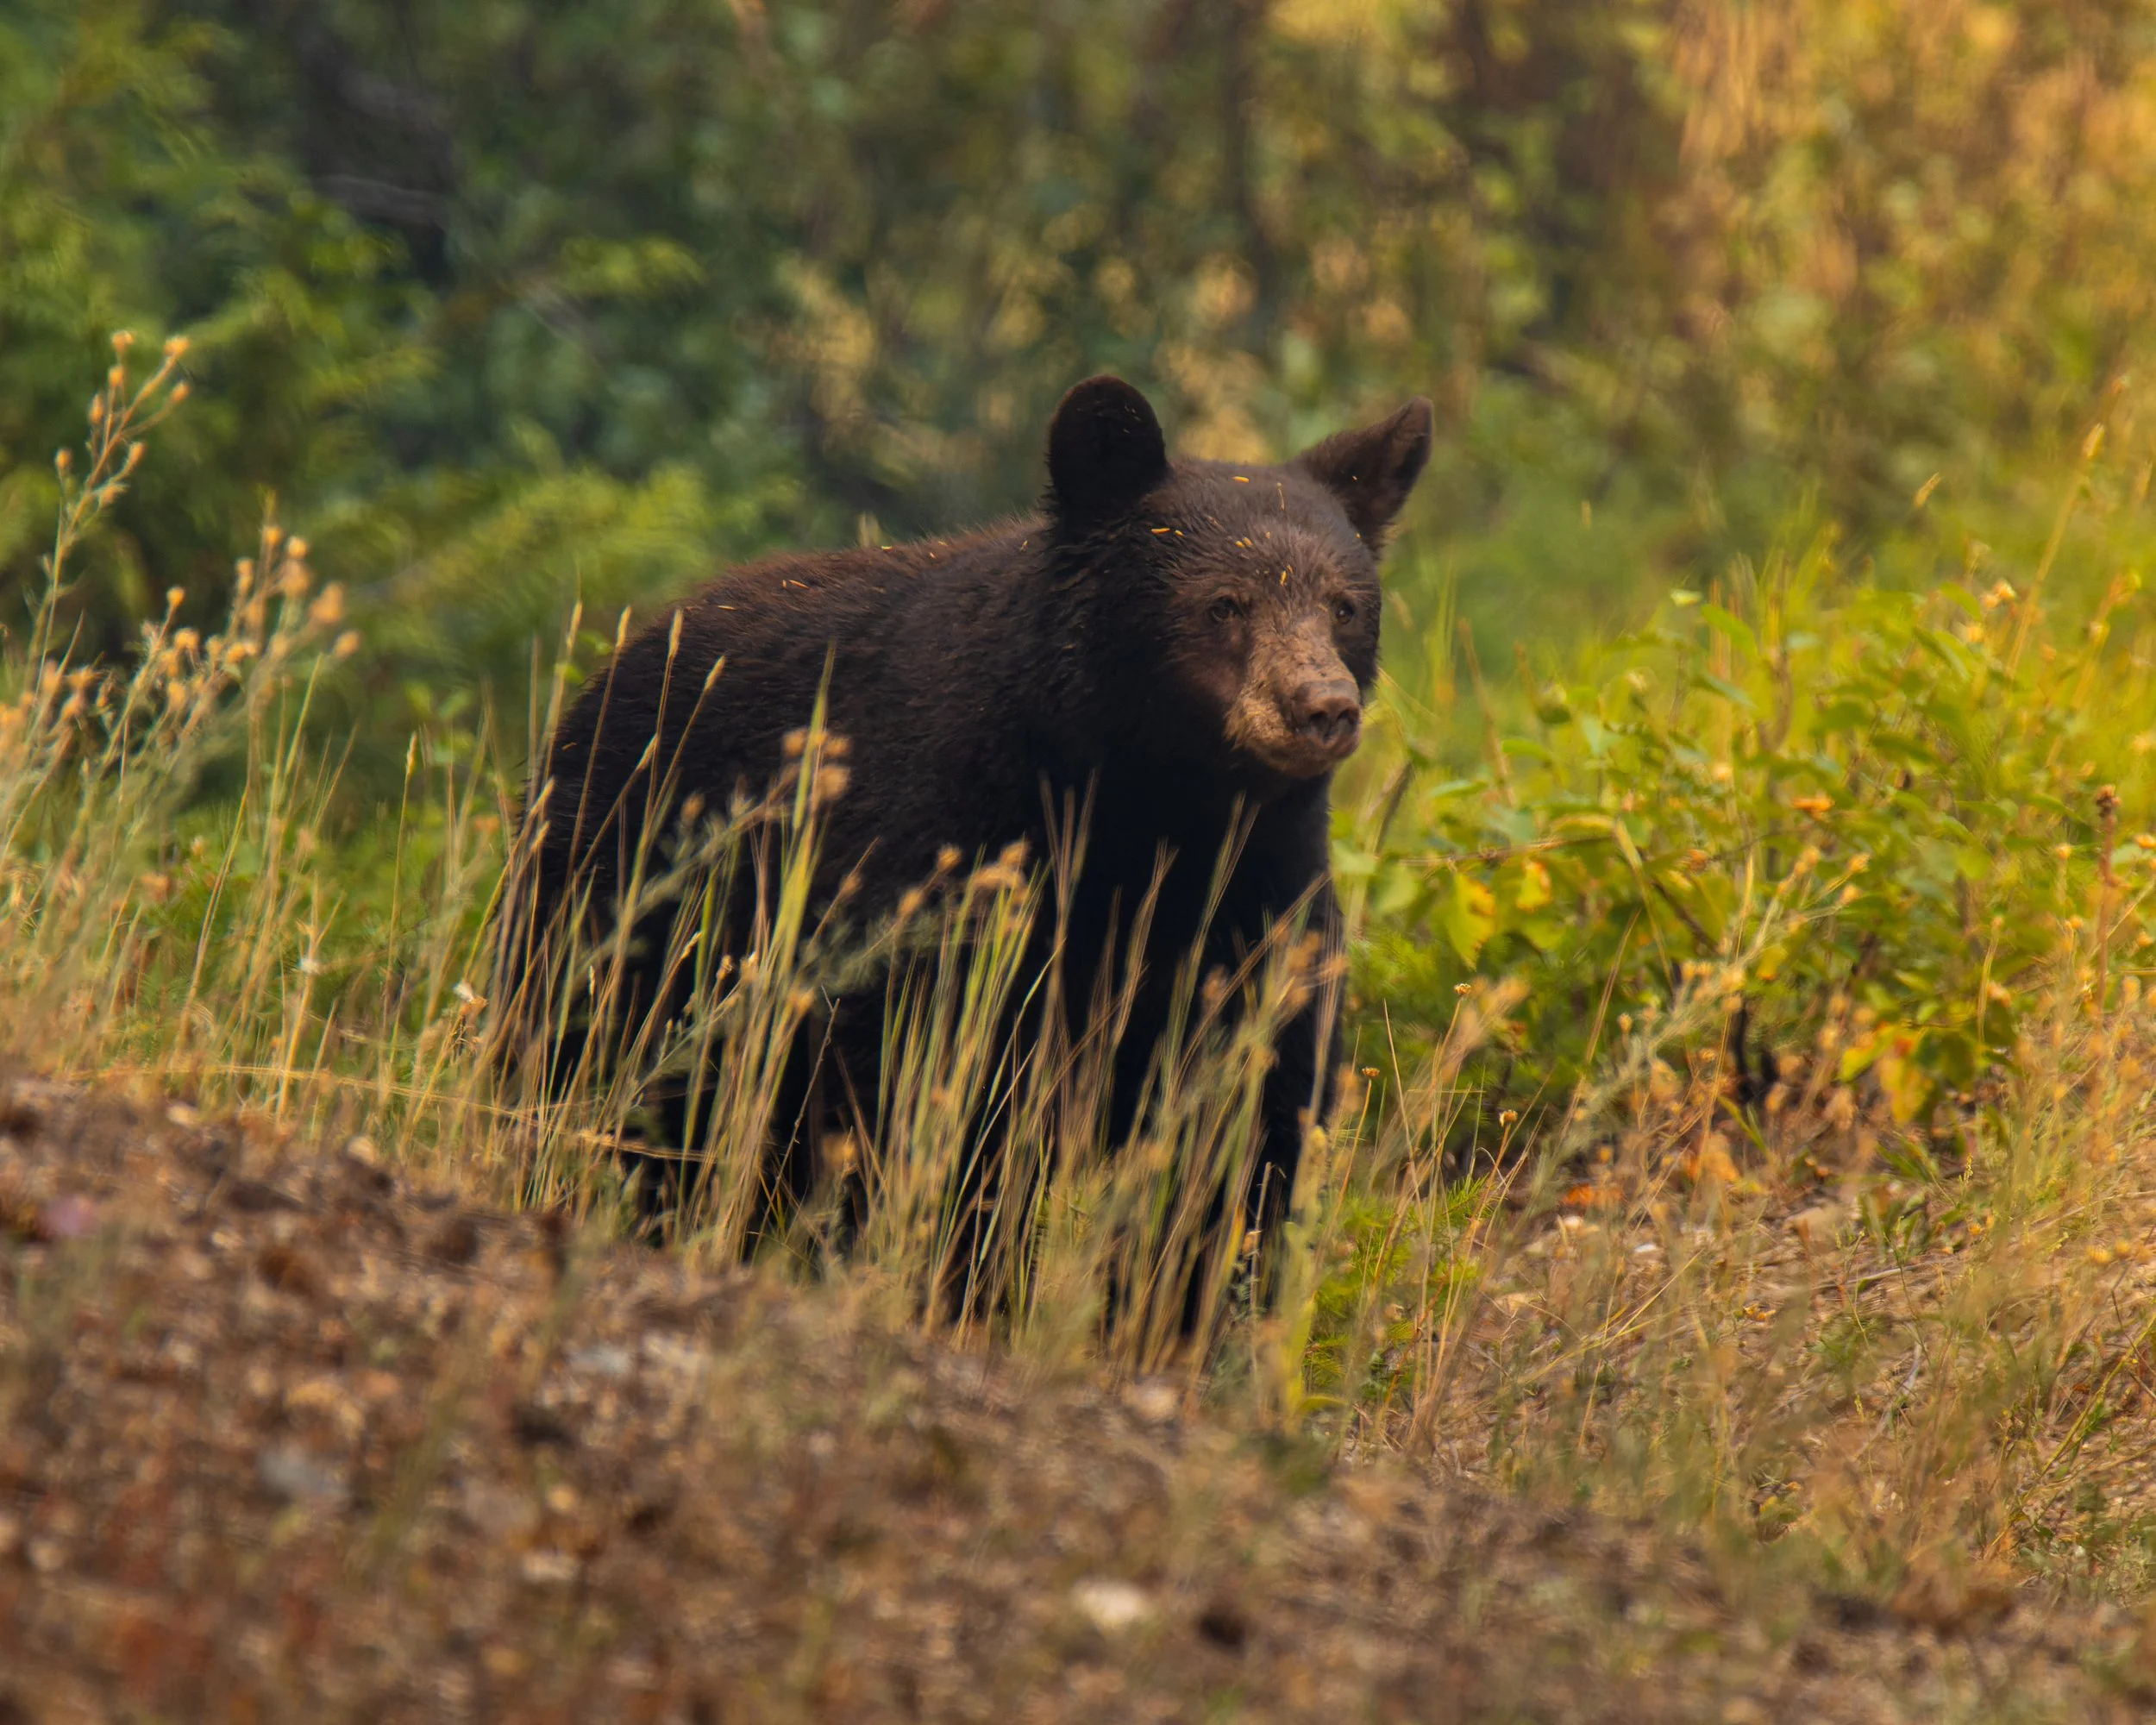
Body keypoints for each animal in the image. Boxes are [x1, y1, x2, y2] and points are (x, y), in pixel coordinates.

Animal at [498, 374, 1433, 1292]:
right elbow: (926, 1091)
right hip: (622, 893)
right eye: (1223, 605)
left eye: (1345, 606)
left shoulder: (1260, 901)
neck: (1147, 811)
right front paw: (957, 1277)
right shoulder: (942, 860)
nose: (1321, 707)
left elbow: (1248, 1122)